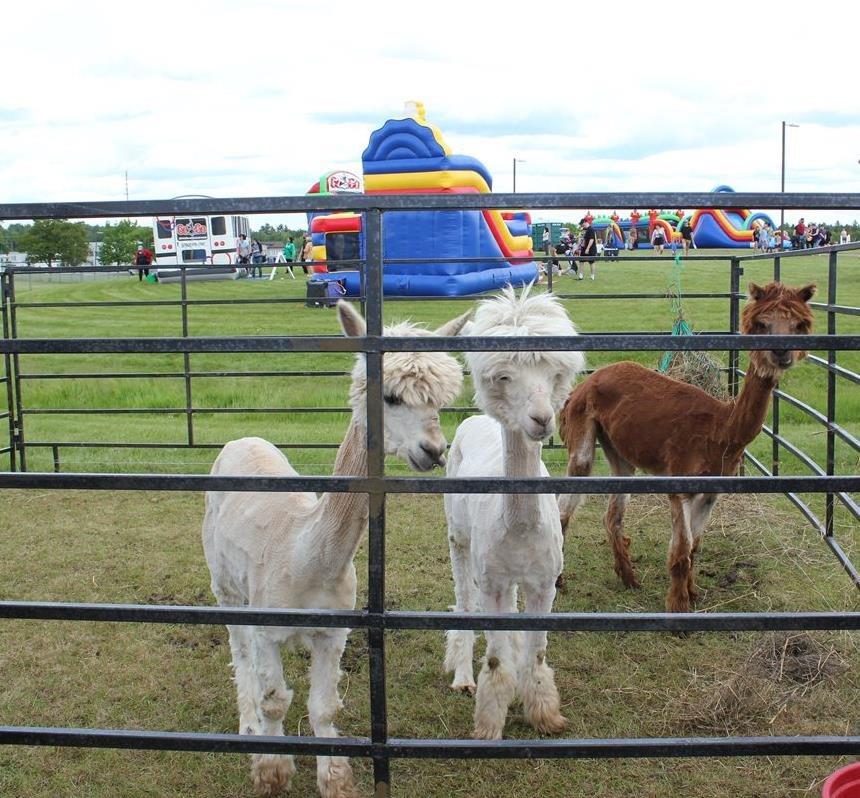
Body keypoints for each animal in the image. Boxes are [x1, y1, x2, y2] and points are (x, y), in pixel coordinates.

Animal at [203, 301, 469, 798]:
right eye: (391, 397)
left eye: (440, 403)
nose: (434, 450)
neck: (305, 558)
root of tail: (243, 438)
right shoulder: (267, 624)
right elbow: (273, 699)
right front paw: (271, 770)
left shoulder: (335, 631)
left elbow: (323, 707)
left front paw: (335, 779)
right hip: (223, 581)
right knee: (238, 647)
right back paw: (247, 724)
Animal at [443, 285, 586, 739]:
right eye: (504, 377)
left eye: (554, 375)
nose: (541, 419)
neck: (520, 529)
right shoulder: (493, 581)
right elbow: (495, 657)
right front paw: (489, 724)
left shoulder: (544, 580)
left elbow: (536, 652)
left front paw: (544, 713)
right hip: (458, 537)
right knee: (464, 600)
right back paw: (462, 677)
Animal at [558, 281, 816, 612]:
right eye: (761, 323)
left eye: (798, 325)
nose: (781, 352)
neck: (721, 432)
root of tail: (592, 377)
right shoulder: (680, 481)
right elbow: (680, 553)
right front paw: (678, 608)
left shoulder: (712, 491)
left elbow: (693, 548)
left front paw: (692, 593)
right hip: (582, 432)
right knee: (565, 506)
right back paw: (558, 580)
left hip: (620, 451)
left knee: (612, 515)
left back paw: (629, 578)